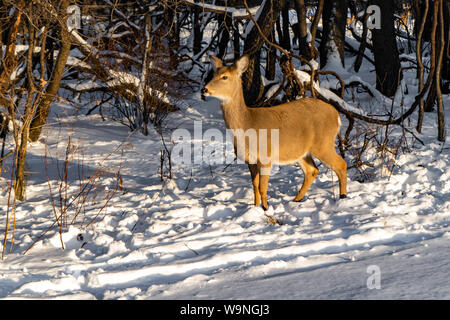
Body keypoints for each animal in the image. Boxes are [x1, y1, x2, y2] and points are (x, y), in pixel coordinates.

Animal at [201, 53, 348, 211]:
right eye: (213, 75)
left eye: (224, 77)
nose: (204, 89)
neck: (248, 124)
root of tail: (336, 115)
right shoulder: (250, 160)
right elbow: (254, 186)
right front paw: (256, 207)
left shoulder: (266, 156)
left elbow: (262, 187)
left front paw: (266, 209)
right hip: (302, 151)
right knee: (312, 170)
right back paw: (296, 200)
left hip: (323, 143)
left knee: (341, 164)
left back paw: (343, 197)